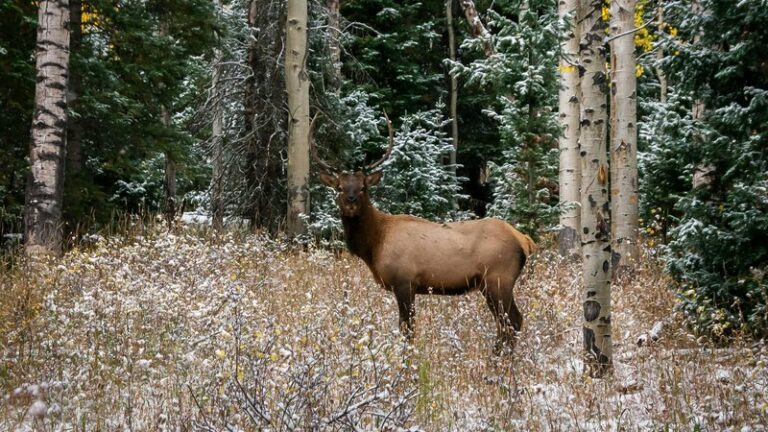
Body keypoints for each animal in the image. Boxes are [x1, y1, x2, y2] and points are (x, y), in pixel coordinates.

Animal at [314, 113, 536, 354]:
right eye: (339, 188)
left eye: (363, 187)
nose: (351, 203)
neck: (374, 244)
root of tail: (525, 241)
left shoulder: (405, 281)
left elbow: (407, 329)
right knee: (512, 322)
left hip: (498, 279)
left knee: (511, 322)